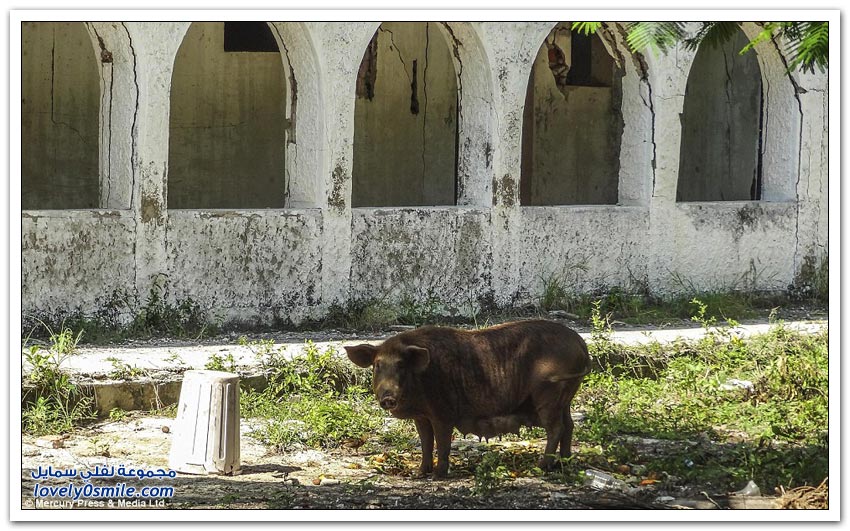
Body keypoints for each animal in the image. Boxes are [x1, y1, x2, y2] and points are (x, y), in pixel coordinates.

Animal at [344, 319, 591, 478]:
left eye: (401, 365)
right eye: (377, 365)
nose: (388, 397)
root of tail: (580, 343)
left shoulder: (443, 412)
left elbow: (442, 442)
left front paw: (438, 476)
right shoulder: (422, 416)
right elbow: (425, 442)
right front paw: (418, 474)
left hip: (549, 394)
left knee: (556, 428)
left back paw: (541, 467)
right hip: (566, 397)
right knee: (569, 425)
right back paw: (565, 463)